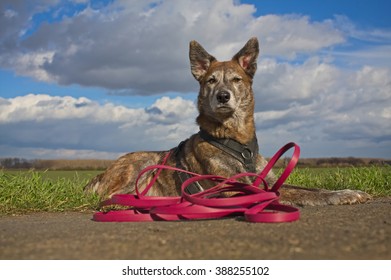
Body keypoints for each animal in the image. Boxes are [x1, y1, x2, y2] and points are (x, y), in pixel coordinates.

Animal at [84, 37, 372, 206]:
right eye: (211, 80)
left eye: (236, 79)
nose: (223, 96)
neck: (236, 140)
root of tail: (99, 175)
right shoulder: (235, 189)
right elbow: (291, 193)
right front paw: (340, 195)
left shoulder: (263, 181)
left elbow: (304, 188)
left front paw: (344, 192)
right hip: (139, 165)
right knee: (110, 195)